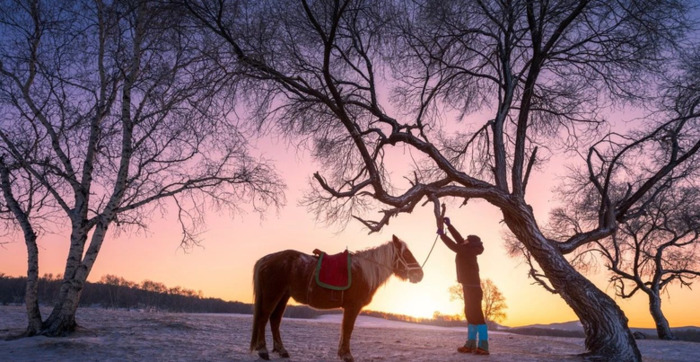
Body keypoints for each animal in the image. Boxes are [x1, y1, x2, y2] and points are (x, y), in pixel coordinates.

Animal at [252, 233, 426, 360]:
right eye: (406, 254)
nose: (420, 275)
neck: (364, 271)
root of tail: (267, 258)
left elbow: (344, 329)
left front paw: (342, 353)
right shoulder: (353, 306)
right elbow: (348, 328)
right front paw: (347, 355)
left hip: (283, 296)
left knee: (275, 320)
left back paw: (282, 350)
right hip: (273, 294)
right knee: (263, 317)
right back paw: (263, 350)